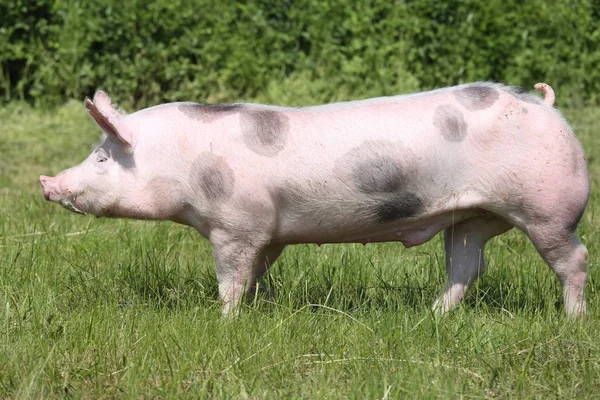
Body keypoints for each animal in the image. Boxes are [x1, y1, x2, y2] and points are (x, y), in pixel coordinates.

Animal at [41, 83, 592, 316]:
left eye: (101, 158)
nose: (47, 183)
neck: (180, 164)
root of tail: (545, 105)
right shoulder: (266, 230)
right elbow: (255, 275)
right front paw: (257, 309)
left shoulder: (235, 224)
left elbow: (230, 279)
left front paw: (223, 321)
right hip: (471, 217)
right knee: (467, 267)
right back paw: (432, 316)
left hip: (547, 207)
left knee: (576, 257)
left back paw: (573, 320)